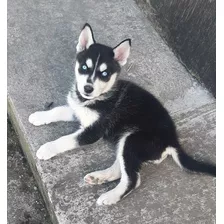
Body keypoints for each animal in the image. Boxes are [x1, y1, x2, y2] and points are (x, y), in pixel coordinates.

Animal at [28, 23, 215, 206]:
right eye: (84, 67)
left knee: (132, 179)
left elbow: (66, 139)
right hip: (125, 141)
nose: (88, 89)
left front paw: (47, 148)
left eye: (104, 74)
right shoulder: (79, 110)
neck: (98, 96)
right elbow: (58, 110)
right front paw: (38, 116)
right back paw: (99, 177)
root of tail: (172, 140)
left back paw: (111, 196)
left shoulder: (93, 131)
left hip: (133, 140)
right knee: (123, 168)